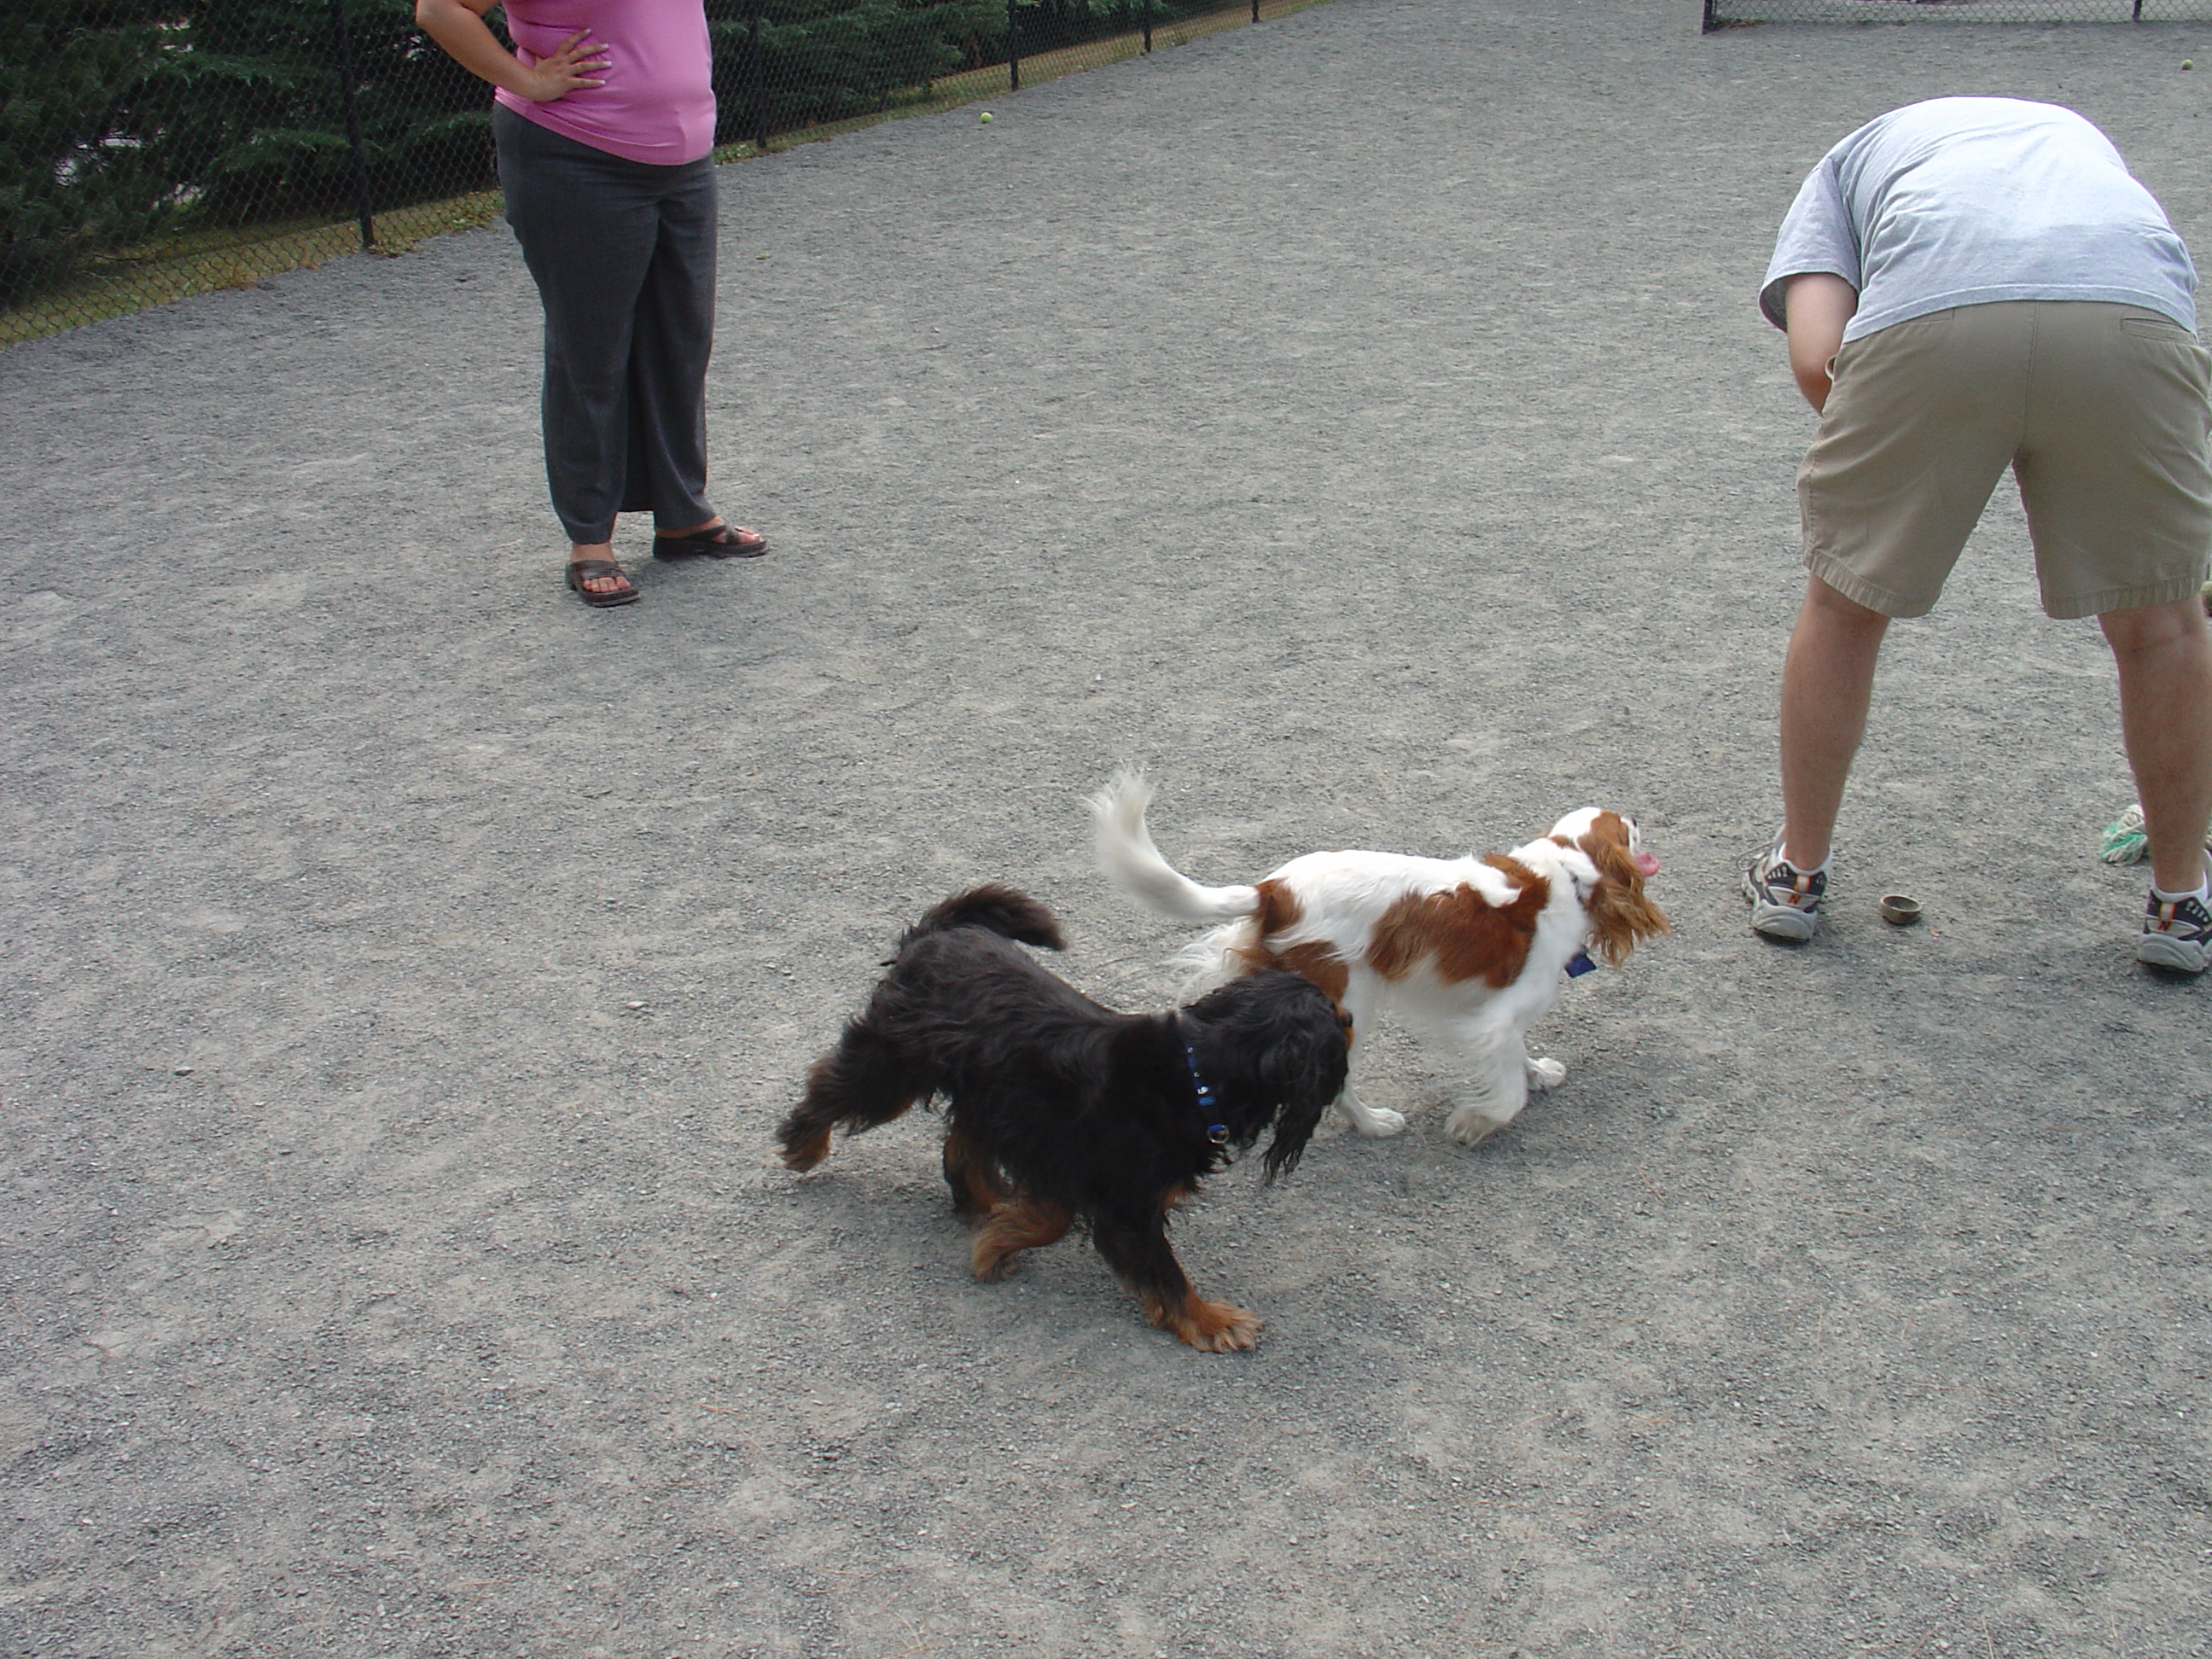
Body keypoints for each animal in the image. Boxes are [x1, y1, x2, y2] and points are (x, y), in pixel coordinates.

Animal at [776, 885, 1350, 1351]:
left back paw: (983, 1202)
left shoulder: (1054, 1149)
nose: (1349, 1013)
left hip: (988, 1093)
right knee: (829, 1090)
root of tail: (941, 932)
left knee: (961, 1145)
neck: (1196, 1074)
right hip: (894, 1066)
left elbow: (1047, 1216)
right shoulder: (1119, 1199)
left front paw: (1000, 1235)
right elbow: (1163, 1274)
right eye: (1330, 1018)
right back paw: (802, 1146)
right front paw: (1212, 1323)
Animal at [1090, 772, 1669, 1146]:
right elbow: (1507, 1094)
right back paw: (1372, 1124)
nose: (1638, 813)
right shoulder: (1495, 1019)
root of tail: (1273, 891)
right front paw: (1473, 1123)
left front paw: (1537, 1072)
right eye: (1627, 828)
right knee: (1337, 1080)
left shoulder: (1486, 1009)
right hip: (1348, 1004)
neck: (1567, 872)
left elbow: (1517, 1059)